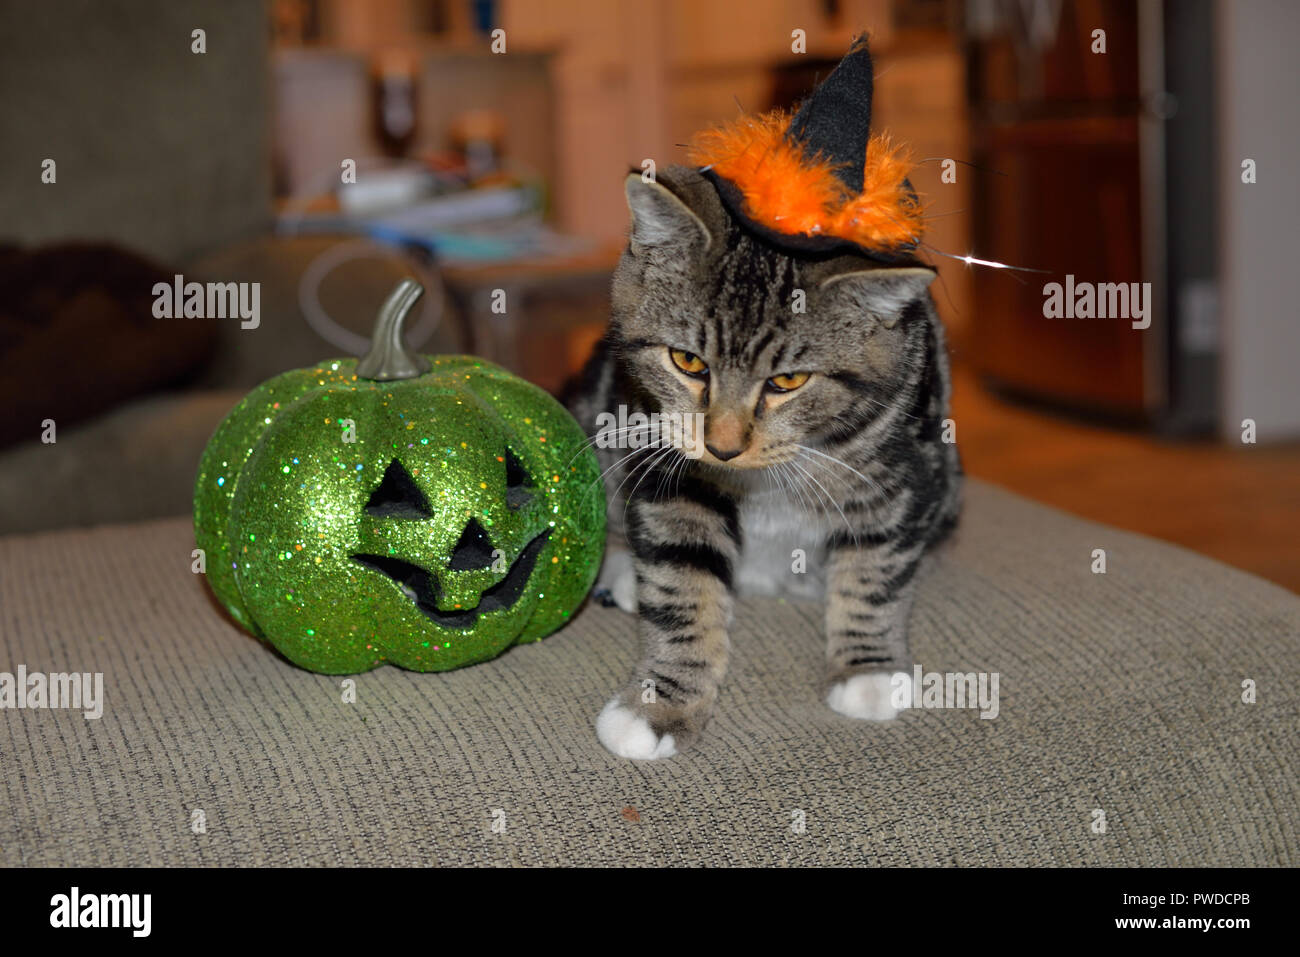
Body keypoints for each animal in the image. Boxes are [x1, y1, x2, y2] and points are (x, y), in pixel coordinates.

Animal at [564, 166, 961, 764]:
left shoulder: (905, 466)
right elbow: (683, 578)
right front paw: (659, 706)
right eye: (687, 361)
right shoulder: (665, 455)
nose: (723, 447)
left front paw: (866, 670)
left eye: (788, 381)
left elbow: (876, 567)